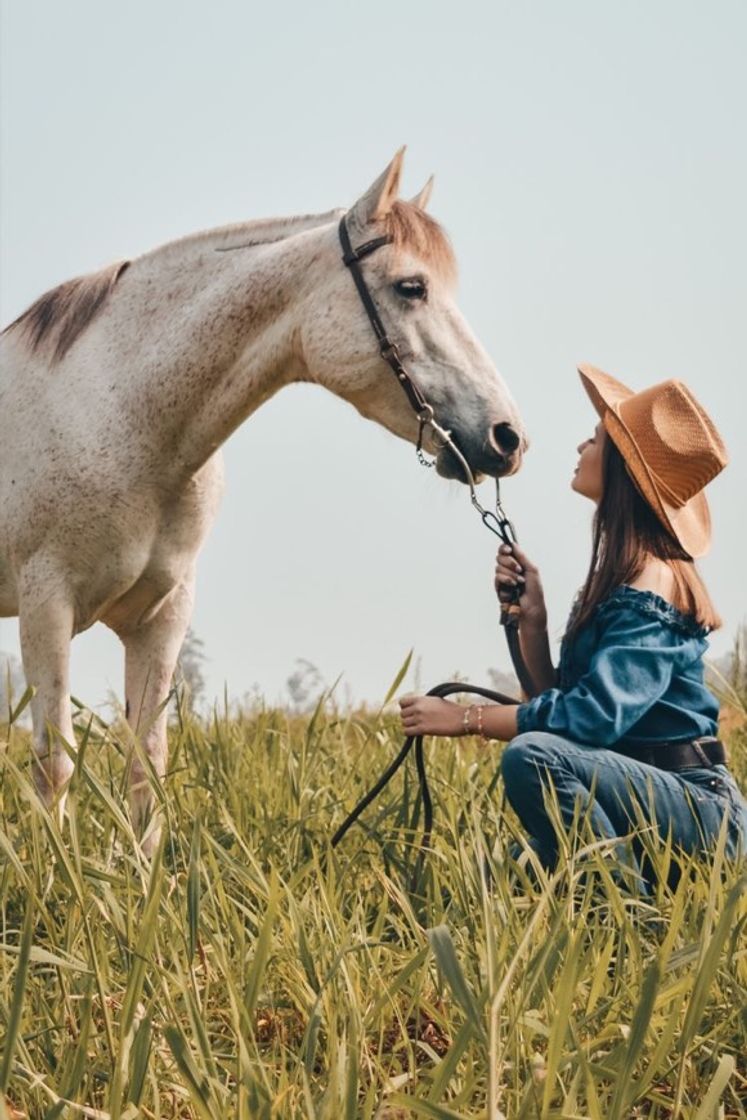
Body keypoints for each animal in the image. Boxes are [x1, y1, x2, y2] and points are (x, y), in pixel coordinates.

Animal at [0, 148, 526, 846]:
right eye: (411, 287)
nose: (507, 437)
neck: (121, 410)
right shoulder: (46, 605)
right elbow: (54, 765)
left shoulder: (160, 616)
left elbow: (147, 766)